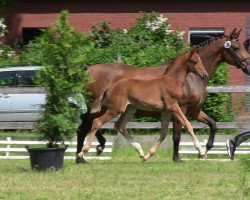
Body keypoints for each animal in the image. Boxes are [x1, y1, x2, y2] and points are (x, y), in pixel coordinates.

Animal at [79, 50, 208, 161]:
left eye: (201, 60)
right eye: (194, 61)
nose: (205, 75)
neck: (171, 81)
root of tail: (109, 88)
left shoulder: (166, 111)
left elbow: (164, 132)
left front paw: (148, 155)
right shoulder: (174, 106)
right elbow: (188, 124)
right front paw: (202, 152)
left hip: (130, 108)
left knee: (120, 125)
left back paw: (141, 153)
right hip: (115, 109)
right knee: (97, 122)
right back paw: (83, 152)